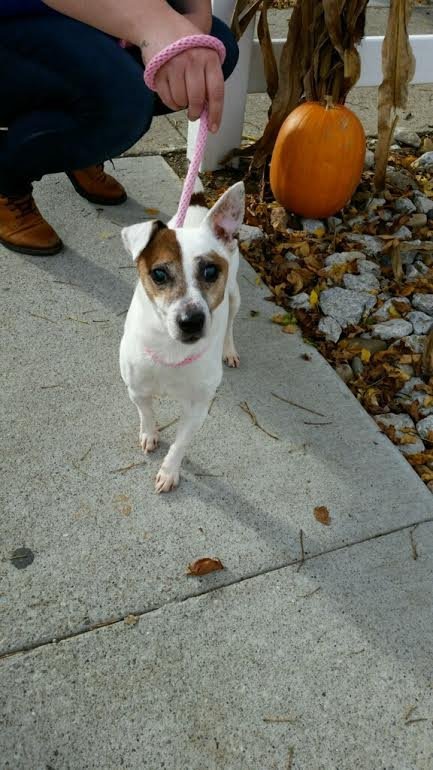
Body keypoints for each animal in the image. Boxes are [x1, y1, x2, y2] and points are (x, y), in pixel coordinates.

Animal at [120, 182, 245, 492]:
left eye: (211, 270)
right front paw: (150, 434)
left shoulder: (197, 410)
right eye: (159, 274)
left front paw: (169, 471)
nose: (191, 321)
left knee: (230, 324)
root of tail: (198, 203)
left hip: (235, 296)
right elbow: (146, 413)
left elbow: (180, 445)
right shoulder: (136, 390)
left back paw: (229, 350)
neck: (171, 350)